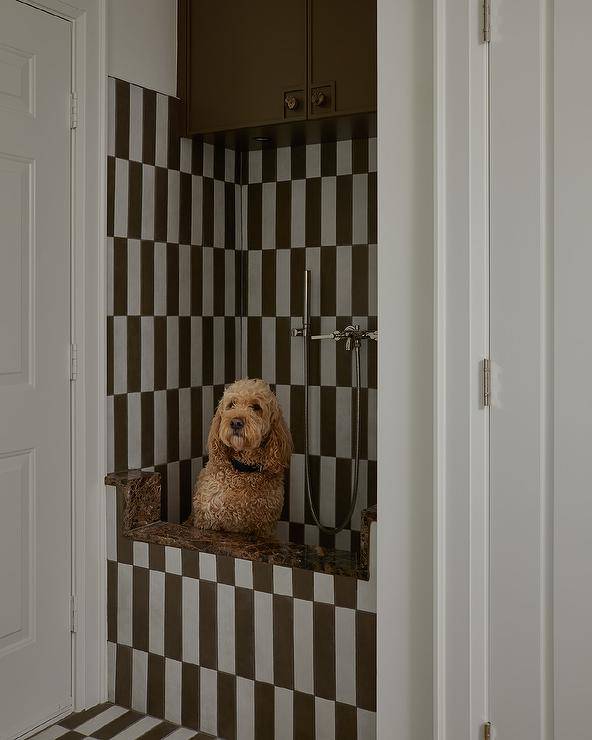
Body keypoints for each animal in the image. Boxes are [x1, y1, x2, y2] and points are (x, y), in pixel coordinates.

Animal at [188, 378, 292, 536]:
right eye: (232, 404)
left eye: (256, 407)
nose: (236, 422)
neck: (243, 469)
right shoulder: (208, 520)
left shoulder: (264, 528)